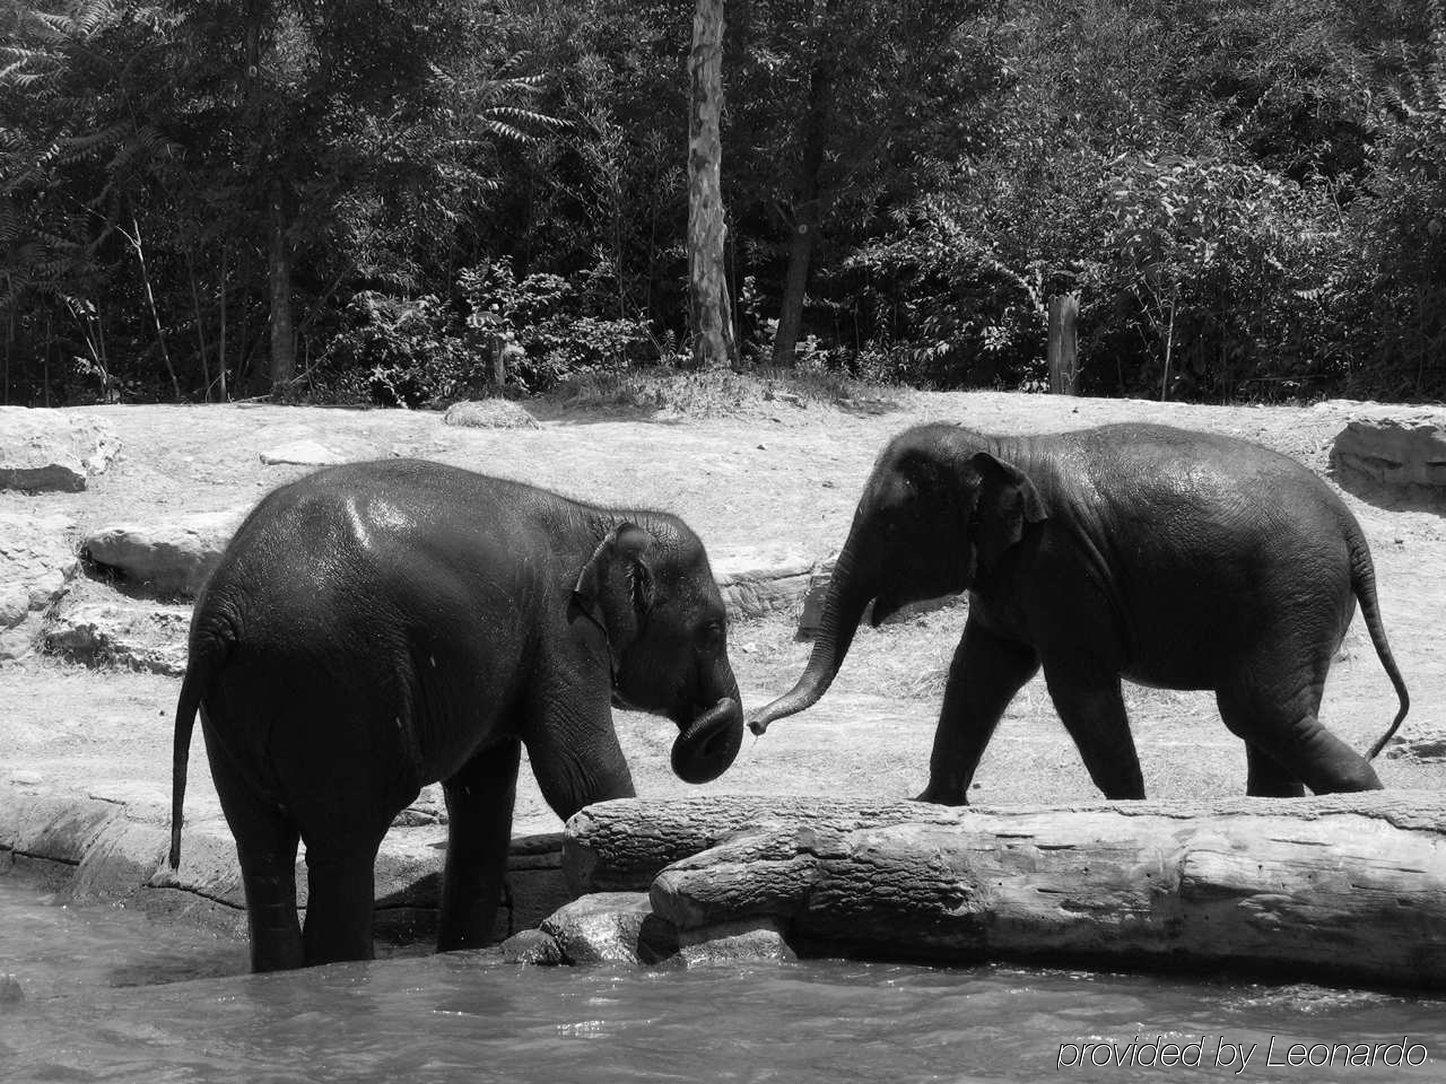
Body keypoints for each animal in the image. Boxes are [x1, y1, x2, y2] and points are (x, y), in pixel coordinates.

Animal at [169, 459, 746, 977]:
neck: (601, 520)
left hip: (239, 707)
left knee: (259, 845)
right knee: (344, 845)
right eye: (714, 629)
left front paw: (463, 954)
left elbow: (484, 792)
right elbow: (580, 775)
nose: (708, 724)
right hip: (336, 686)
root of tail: (222, 616)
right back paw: (341, 975)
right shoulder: (564, 635)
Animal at [751, 424, 1405, 809]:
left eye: (889, 525)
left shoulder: (1060, 568)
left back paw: (1366, 799)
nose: (755, 725)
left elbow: (1076, 687)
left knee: (1255, 707)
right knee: (1272, 715)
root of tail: (1352, 530)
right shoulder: (1009, 575)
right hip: (1302, 601)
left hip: (1293, 591)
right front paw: (933, 806)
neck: (1003, 446)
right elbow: (979, 673)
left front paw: (1132, 809)